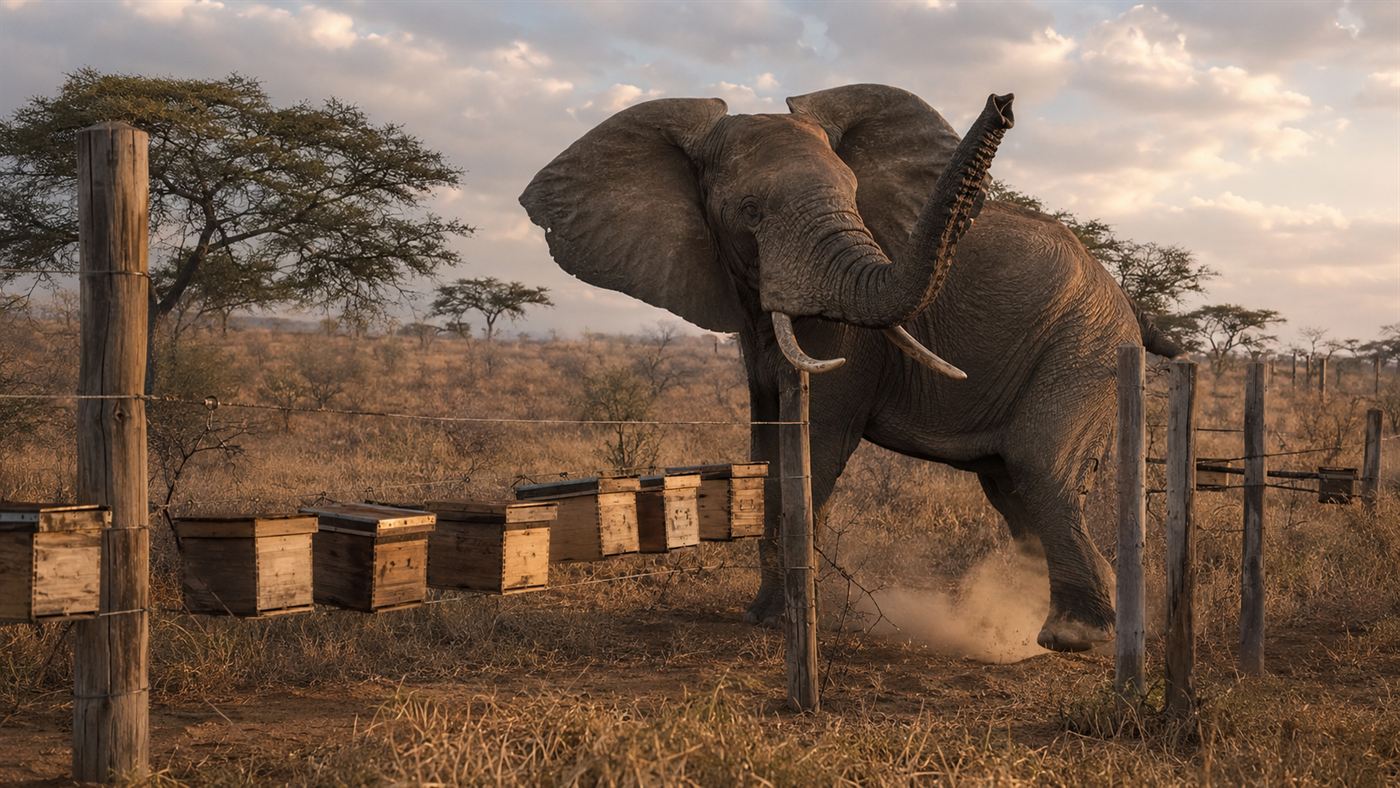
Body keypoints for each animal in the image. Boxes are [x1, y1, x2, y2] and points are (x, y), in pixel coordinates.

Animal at [520, 84, 1180, 652]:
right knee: (1014, 489)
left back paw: (1073, 637)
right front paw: (763, 617)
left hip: (1086, 347)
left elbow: (817, 442)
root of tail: (1125, 299)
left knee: (1039, 469)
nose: (1004, 102)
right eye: (749, 210)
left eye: (853, 192)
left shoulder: (849, 340)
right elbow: (768, 444)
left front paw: (777, 620)